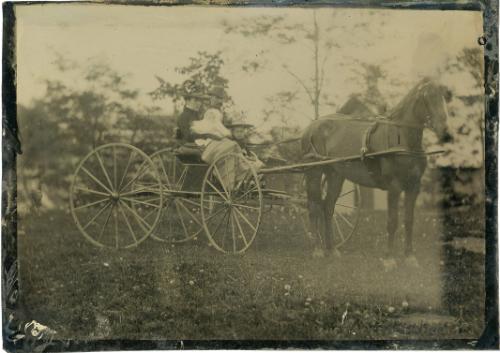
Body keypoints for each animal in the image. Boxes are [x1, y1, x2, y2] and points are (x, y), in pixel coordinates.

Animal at [300, 77, 454, 264]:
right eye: (427, 96)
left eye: (445, 96)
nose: (444, 130)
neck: (403, 139)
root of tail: (312, 127)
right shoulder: (394, 187)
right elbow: (392, 221)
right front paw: (389, 259)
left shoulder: (414, 186)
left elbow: (409, 220)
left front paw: (409, 257)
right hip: (313, 173)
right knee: (314, 207)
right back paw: (317, 250)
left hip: (335, 175)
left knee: (328, 207)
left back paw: (332, 250)